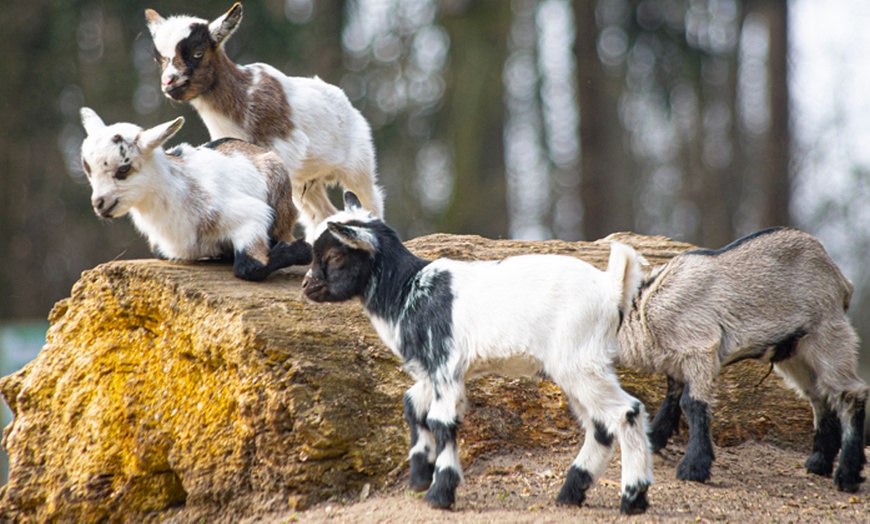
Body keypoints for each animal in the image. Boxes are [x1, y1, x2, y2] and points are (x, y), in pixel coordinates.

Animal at [76, 107, 312, 282]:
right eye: (88, 168)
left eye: (124, 168)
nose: (100, 203)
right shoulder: (163, 247)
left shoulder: (251, 216)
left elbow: (250, 266)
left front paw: (302, 249)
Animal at [145, 1, 384, 244]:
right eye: (159, 60)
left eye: (198, 53)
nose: (169, 83)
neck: (245, 95)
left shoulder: (282, 150)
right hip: (308, 181)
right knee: (322, 214)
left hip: (358, 164)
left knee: (370, 200)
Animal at [304, 191, 656, 512]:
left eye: (334, 256)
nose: (308, 286)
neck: (407, 290)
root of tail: (612, 288)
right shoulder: (433, 371)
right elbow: (411, 405)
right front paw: (419, 475)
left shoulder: (444, 367)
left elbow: (440, 422)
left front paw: (439, 494)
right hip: (578, 366)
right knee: (600, 426)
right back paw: (571, 493)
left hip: (580, 361)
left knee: (626, 412)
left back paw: (632, 499)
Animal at [616, 227, 868, 494]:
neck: (646, 309)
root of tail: (842, 280)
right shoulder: (677, 362)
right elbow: (672, 398)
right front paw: (652, 440)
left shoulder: (699, 348)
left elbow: (692, 403)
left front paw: (693, 468)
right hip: (795, 352)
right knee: (818, 395)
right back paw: (819, 463)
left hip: (828, 334)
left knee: (850, 392)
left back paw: (847, 475)